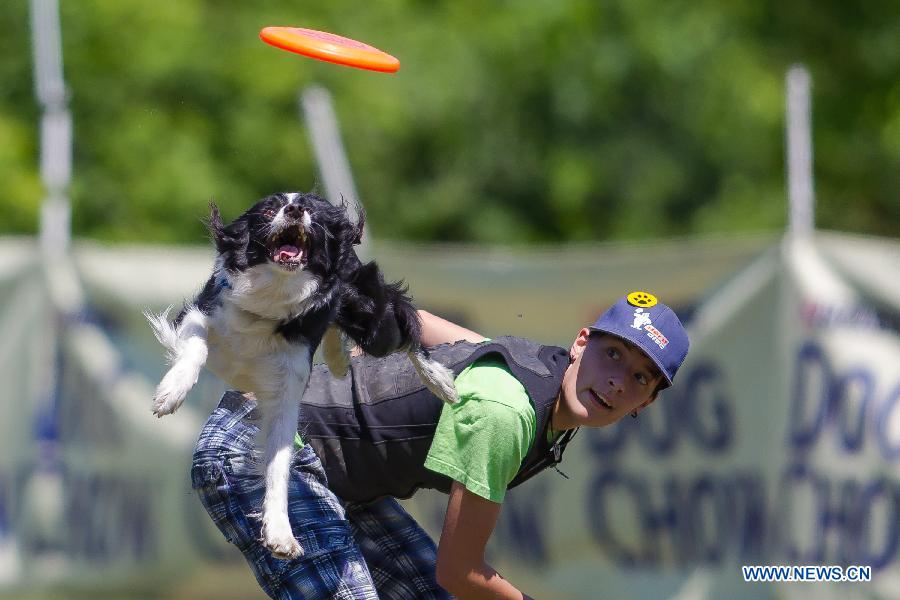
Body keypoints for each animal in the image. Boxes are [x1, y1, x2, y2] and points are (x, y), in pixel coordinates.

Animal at [149, 192, 458, 556]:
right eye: (269, 209)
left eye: (311, 212)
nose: (295, 210)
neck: (274, 292)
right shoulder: (201, 312)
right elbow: (196, 345)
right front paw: (172, 391)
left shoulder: (286, 391)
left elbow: (279, 464)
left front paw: (281, 533)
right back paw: (339, 360)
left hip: (373, 322)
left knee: (407, 331)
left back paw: (440, 382)